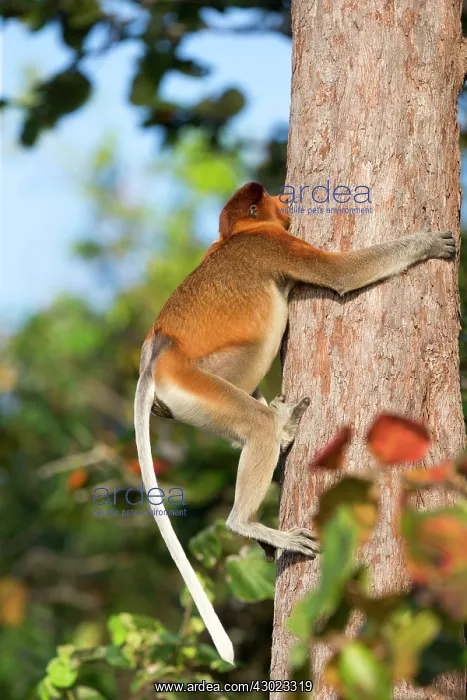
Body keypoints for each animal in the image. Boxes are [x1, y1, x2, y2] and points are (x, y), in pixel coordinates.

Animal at [134, 181, 456, 663]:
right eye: (266, 198)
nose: (284, 200)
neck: (236, 235)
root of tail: (157, 352)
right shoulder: (277, 245)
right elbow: (341, 273)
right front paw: (430, 242)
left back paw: (282, 428)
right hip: (199, 383)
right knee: (256, 427)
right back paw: (253, 515)